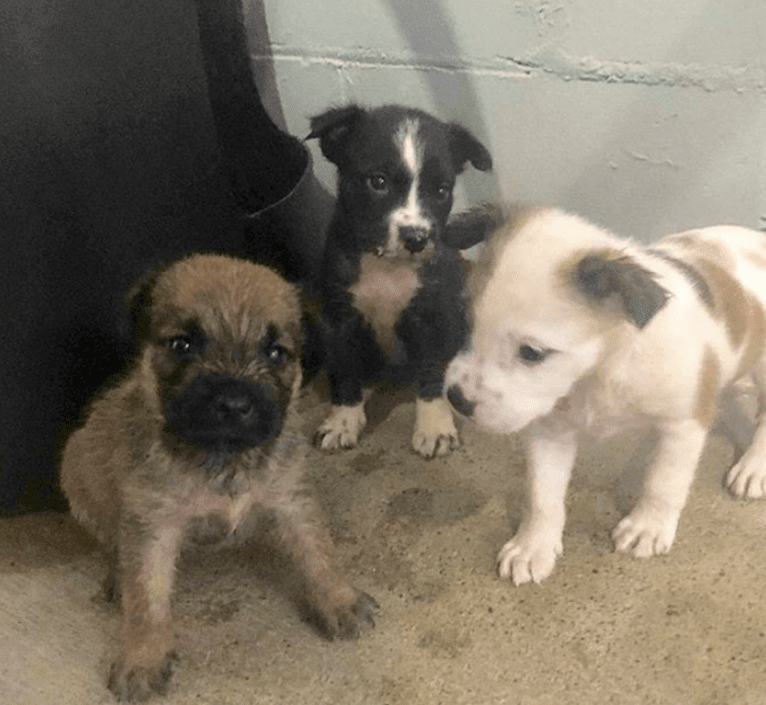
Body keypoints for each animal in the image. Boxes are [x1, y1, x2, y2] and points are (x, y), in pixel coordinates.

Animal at [62, 253, 378, 700]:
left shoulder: (291, 500)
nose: (233, 404)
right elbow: (146, 599)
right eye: (182, 345)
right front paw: (143, 658)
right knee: (112, 542)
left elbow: (317, 552)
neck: (224, 459)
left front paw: (338, 599)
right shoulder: (151, 525)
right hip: (76, 473)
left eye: (276, 352)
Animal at [308, 103, 496, 456]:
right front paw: (343, 420)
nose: (417, 238)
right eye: (377, 181)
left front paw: (434, 426)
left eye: (442, 190)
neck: (387, 265)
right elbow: (344, 370)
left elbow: (430, 372)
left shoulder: (429, 317)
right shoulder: (339, 318)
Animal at [444, 206, 766, 584]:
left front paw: (648, 526)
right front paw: (533, 545)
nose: (457, 399)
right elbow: (541, 495)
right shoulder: (549, 432)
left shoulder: (683, 425)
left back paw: (754, 467)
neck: (601, 370)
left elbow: (663, 482)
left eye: (533, 353)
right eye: (466, 323)